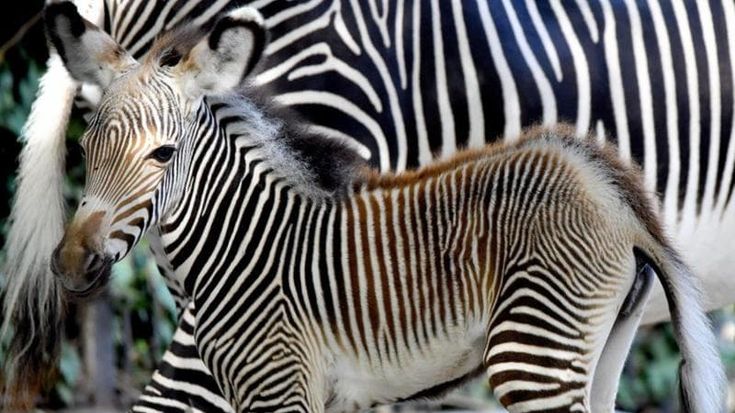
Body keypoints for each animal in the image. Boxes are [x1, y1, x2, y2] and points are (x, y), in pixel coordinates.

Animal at [4, 0, 735, 410]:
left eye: (162, 154)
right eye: (87, 142)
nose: (69, 263)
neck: (237, 243)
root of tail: (608, 188)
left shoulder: (281, 384)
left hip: (534, 353)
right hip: (598, 351)